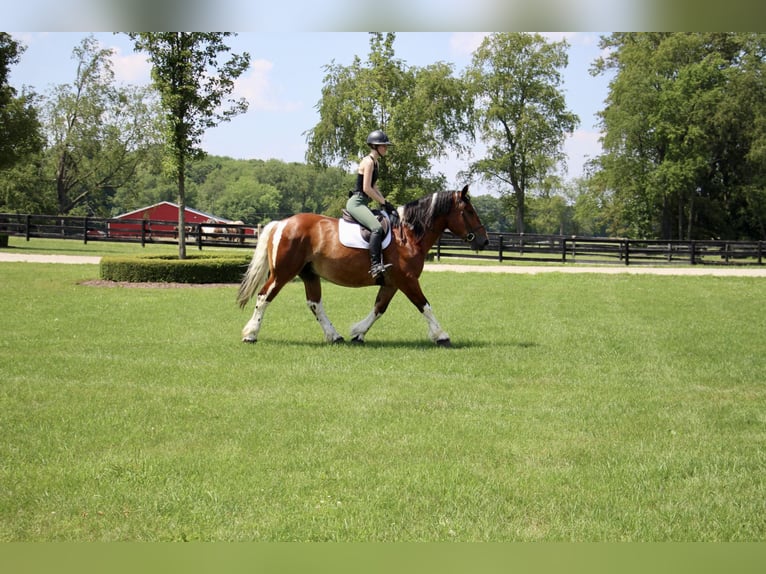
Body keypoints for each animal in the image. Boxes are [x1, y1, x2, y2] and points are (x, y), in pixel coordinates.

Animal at [238, 186, 492, 346]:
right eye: (469, 211)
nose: (484, 241)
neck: (408, 235)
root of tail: (281, 223)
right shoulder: (408, 280)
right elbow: (425, 306)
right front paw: (441, 336)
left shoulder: (392, 283)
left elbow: (379, 308)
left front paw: (358, 333)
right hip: (283, 273)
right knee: (264, 297)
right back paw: (250, 334)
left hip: (309, 274)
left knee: (315, 304)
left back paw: (335, 336)